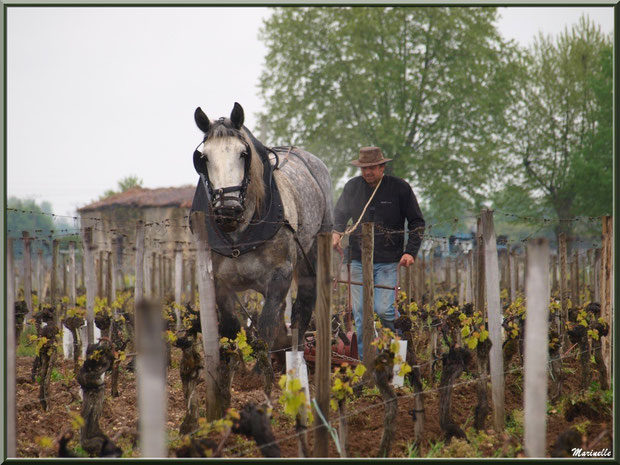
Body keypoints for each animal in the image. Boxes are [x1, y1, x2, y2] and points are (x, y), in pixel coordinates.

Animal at [190, 103, 334, 354]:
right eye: (204, 157)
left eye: (243, 154)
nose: (227, 210)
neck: (239, 237)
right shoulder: (218, 282)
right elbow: (231, 327)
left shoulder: (281, 275)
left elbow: (266, 328)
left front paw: (262, 364)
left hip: (312, 253)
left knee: (303, 307)